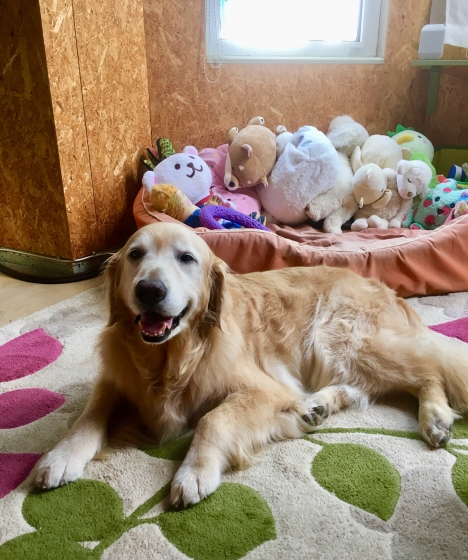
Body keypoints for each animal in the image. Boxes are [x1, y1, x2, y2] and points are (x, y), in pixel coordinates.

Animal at [35, 222, 468, 507]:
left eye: (186, 258)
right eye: (135, 254)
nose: (149, 290)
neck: (172, 359)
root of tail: (387, 290)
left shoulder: (265, 389)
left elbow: (213, 419)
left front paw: (194, 472)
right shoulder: (115, 381)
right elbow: (89, 415)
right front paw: (60, 456)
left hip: (339, 338)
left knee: (428, 369)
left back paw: (435, 416)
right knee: (367, 385)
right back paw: (318, 405)